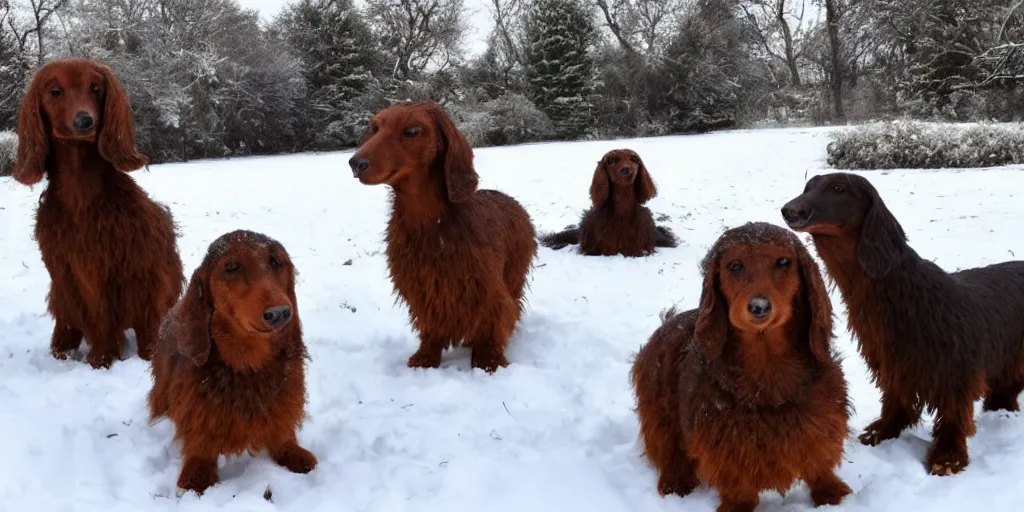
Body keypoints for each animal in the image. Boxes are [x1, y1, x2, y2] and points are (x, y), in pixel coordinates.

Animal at [11, 58, 184, 368]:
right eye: (55, 92)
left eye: (95, 89)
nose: (85, 120)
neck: (82, 195)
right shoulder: (69, 275)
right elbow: (87, 319)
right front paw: (86, 358)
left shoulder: (133, 273)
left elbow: (135, 323)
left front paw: (117, 358)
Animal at [148, 232, 315, 495]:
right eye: (232, 267)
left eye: (276, 262)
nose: (280, 313)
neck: (247, 366)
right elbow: (199, 459)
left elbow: (283, 437)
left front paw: (293, 452)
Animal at [626, 221, 851, 512]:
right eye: (734, 265)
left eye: (783, 262)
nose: (759, 307)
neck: (767, 365)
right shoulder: (724, 440)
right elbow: (738, 488)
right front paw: (735, 506)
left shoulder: (821, 419)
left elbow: (820, 465)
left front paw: (832, 494)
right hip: (661, 404)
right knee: (669, 448)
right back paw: (675, 482)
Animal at [782, 173, 1024, 475]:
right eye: (808, 187)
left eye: (838, 188)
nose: (789, 210)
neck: (906, 292)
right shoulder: (894, 362)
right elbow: (895, 398)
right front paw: (883, 431)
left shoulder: (956, 370)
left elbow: (954, 413)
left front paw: (948, 455)